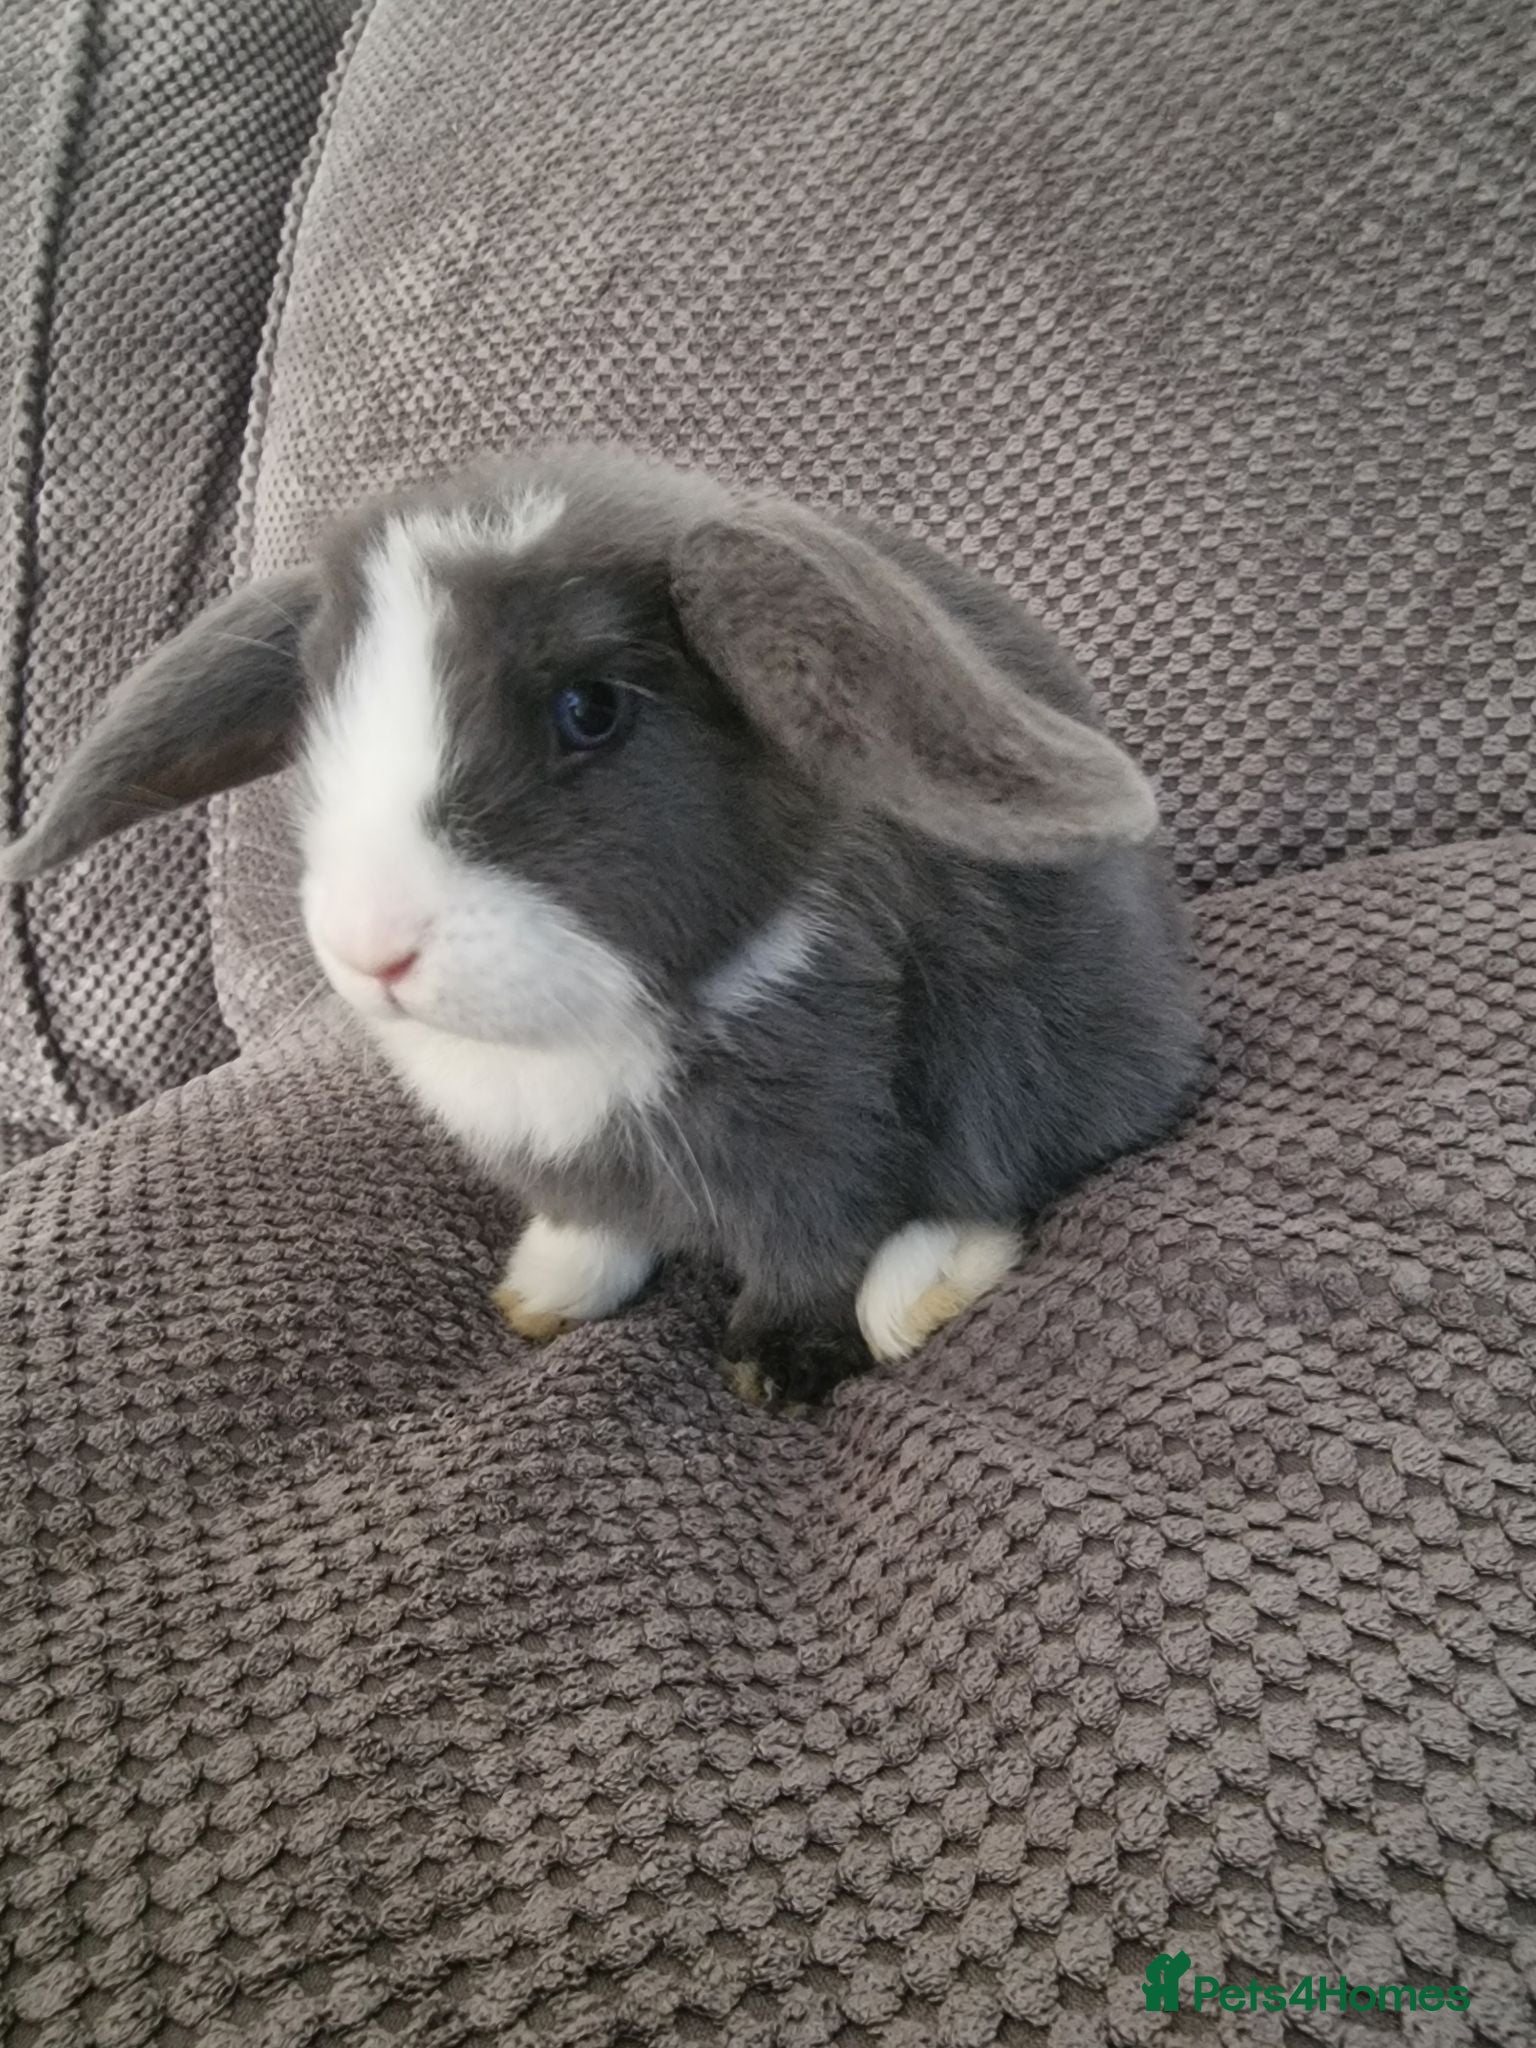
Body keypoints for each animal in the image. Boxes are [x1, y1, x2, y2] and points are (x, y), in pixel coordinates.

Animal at [1, 446, 1202, 1403]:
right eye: (320, 712)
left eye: (590, 710)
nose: (369, 947)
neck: (568, 1031)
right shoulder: (570, 1167)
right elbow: (596, 1228)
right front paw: (541, 1294)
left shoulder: (826, 1136)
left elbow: (814, 1252)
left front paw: (778, 1368)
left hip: (1041, 1045)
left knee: (1015, 1166)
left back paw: (918, 1294)